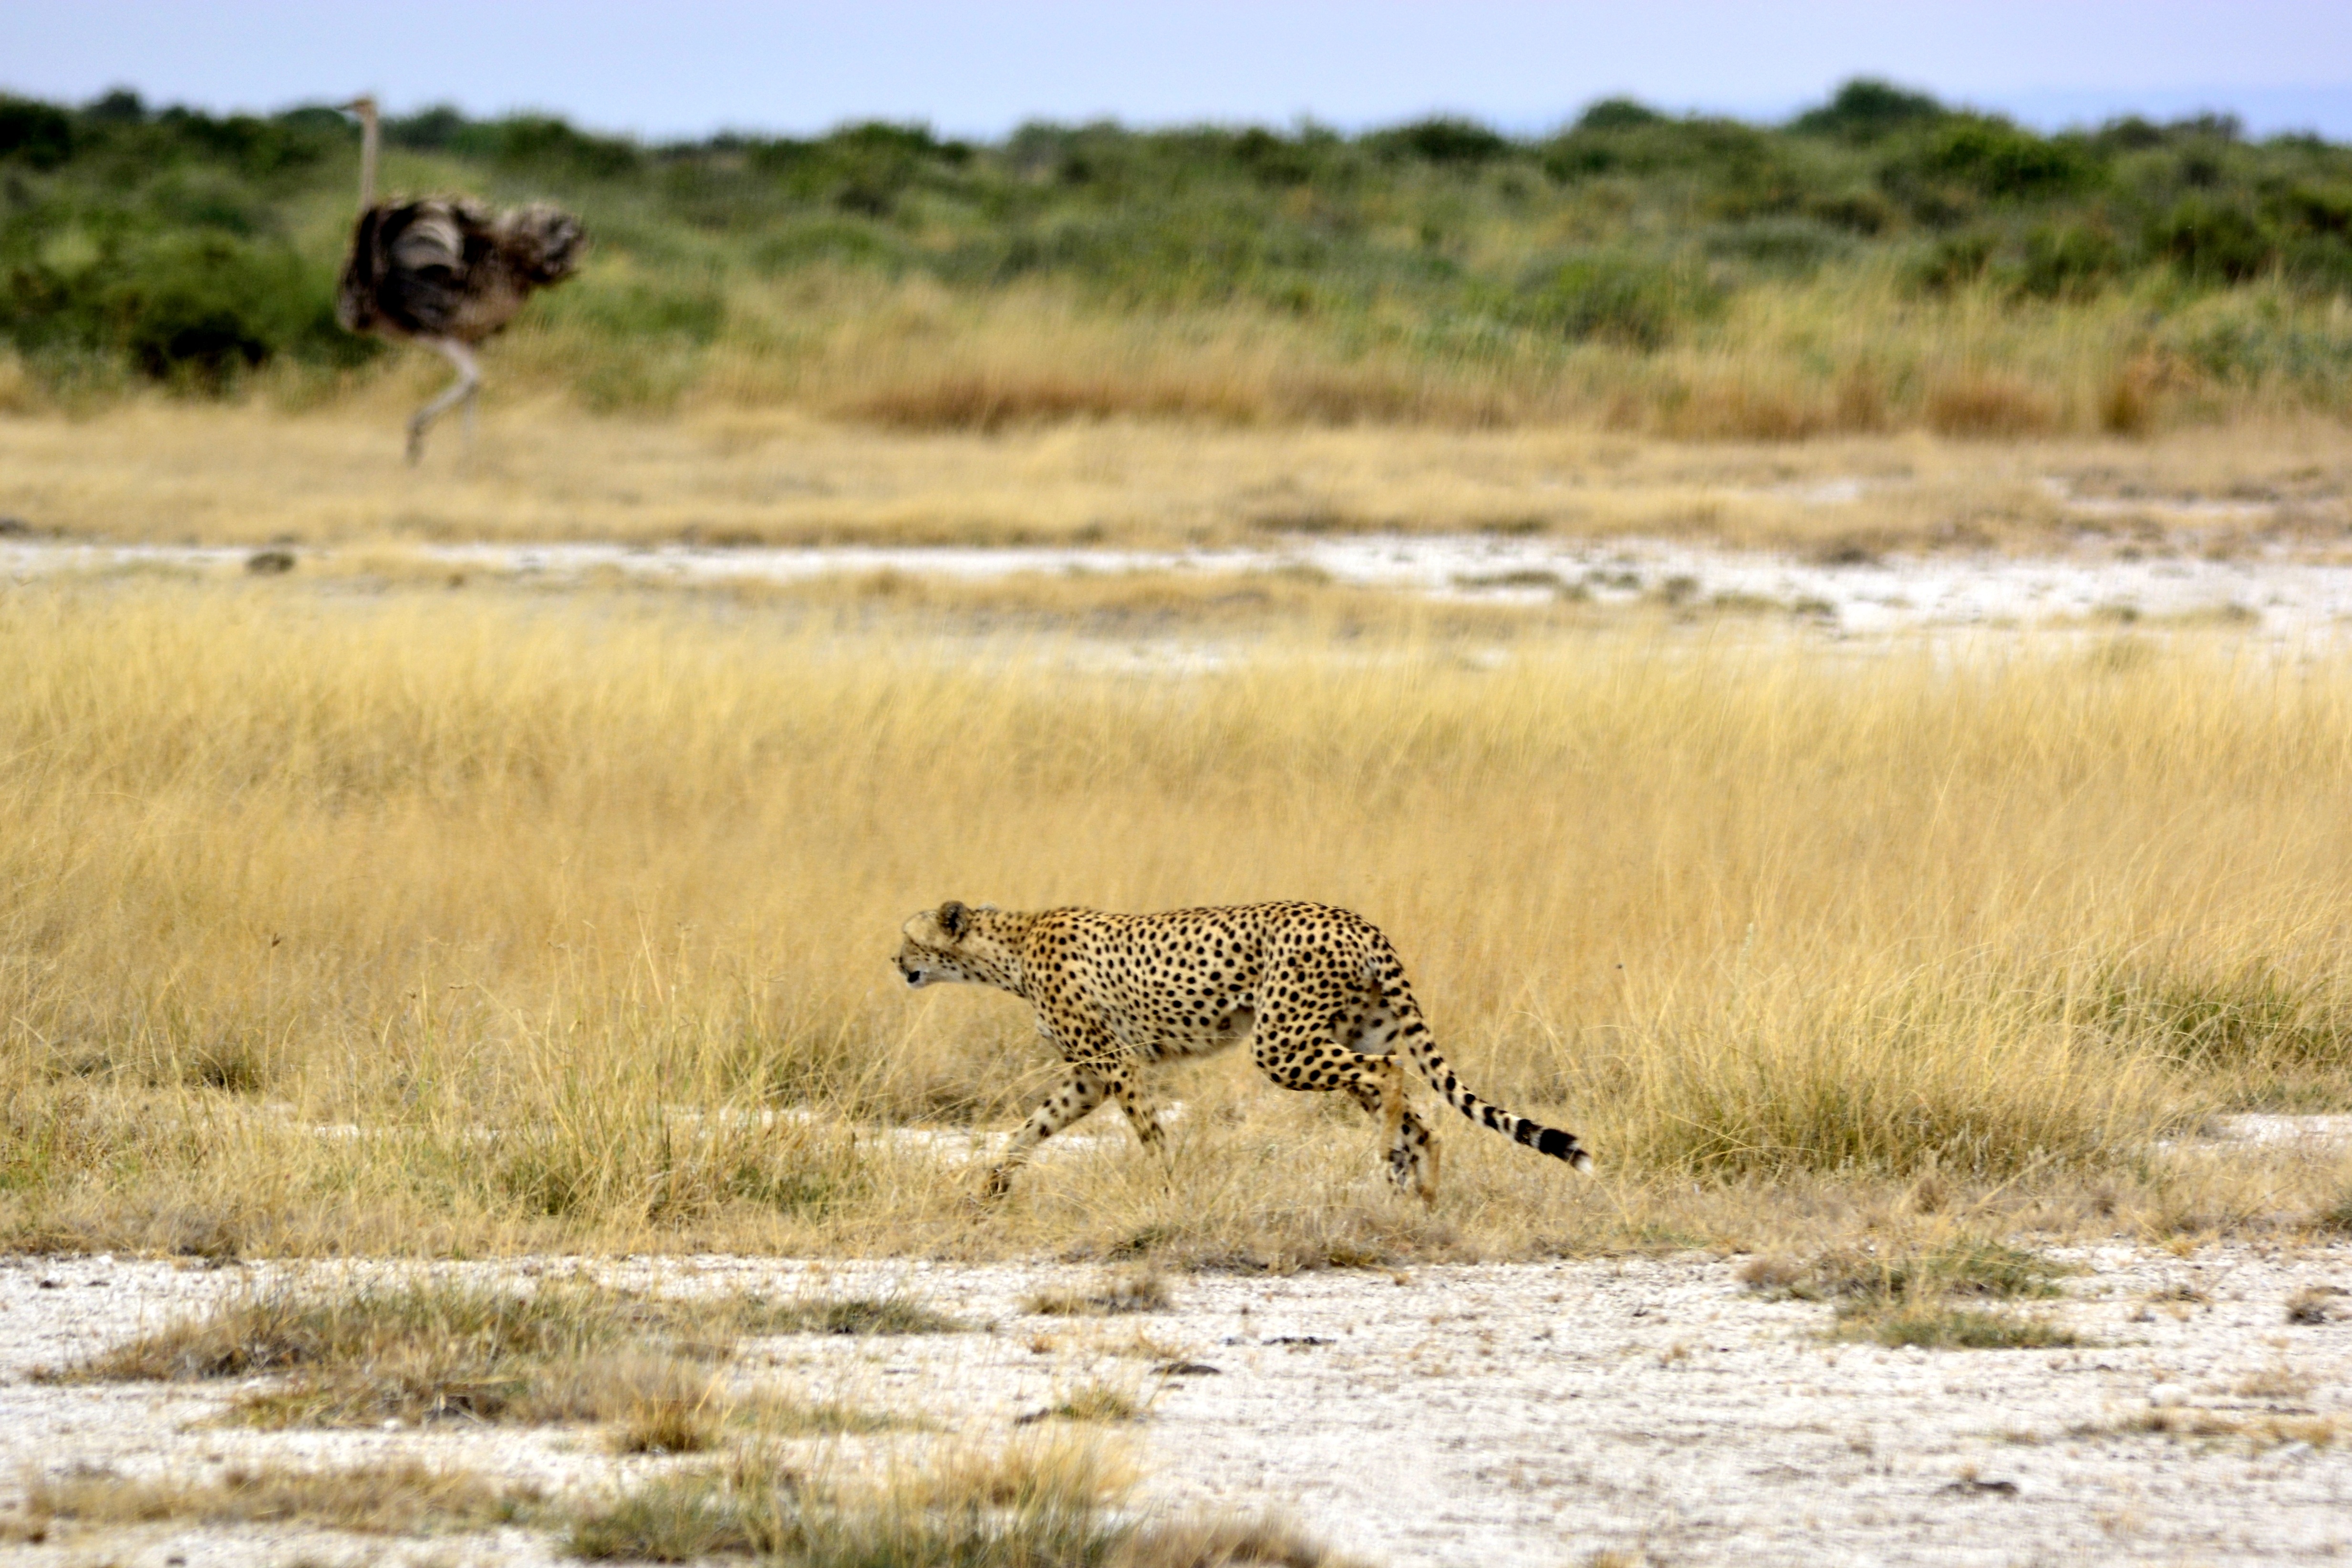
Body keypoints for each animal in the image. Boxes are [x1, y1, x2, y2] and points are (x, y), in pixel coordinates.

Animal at [889, 893, 1590, 1204]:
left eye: (909, 937)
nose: (894, 962)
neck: (1007, 945)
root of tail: (1357, 919)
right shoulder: (1088, 1074)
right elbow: (1031, 1126)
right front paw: (990, 1183)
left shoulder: (1115, 1063)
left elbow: (1148, 1133)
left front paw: (1168, 1188)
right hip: (1342, 1032)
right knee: (1421, 1110)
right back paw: (1419, 1190)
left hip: (1279, 1044)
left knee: (1391, 1073)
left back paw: (1391, 1158)